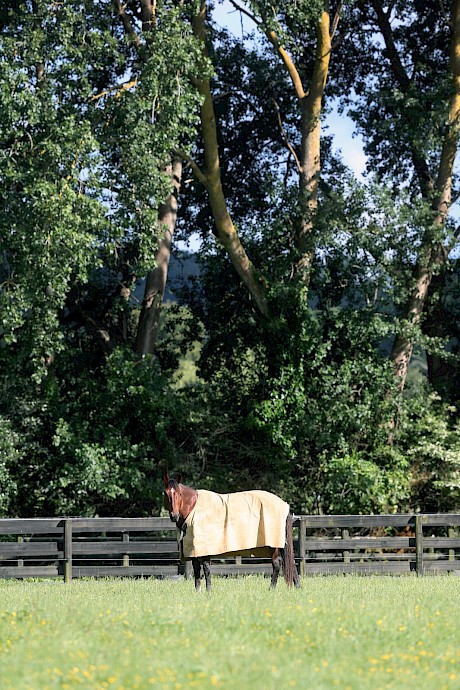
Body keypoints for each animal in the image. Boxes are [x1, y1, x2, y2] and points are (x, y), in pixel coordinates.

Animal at [163, 472, 302, 592]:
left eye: (180, 494)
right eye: (165, 493)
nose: (174, 516)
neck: (194, 508)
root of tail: (283, 504)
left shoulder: (204, 548)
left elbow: (206, 568)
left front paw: (208, 590)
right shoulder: (193, 549)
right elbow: (196, 569)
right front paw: (198, 591)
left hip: (273, 545)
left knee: (277, 563)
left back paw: (271, 588)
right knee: (290, 563)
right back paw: (297, 586)